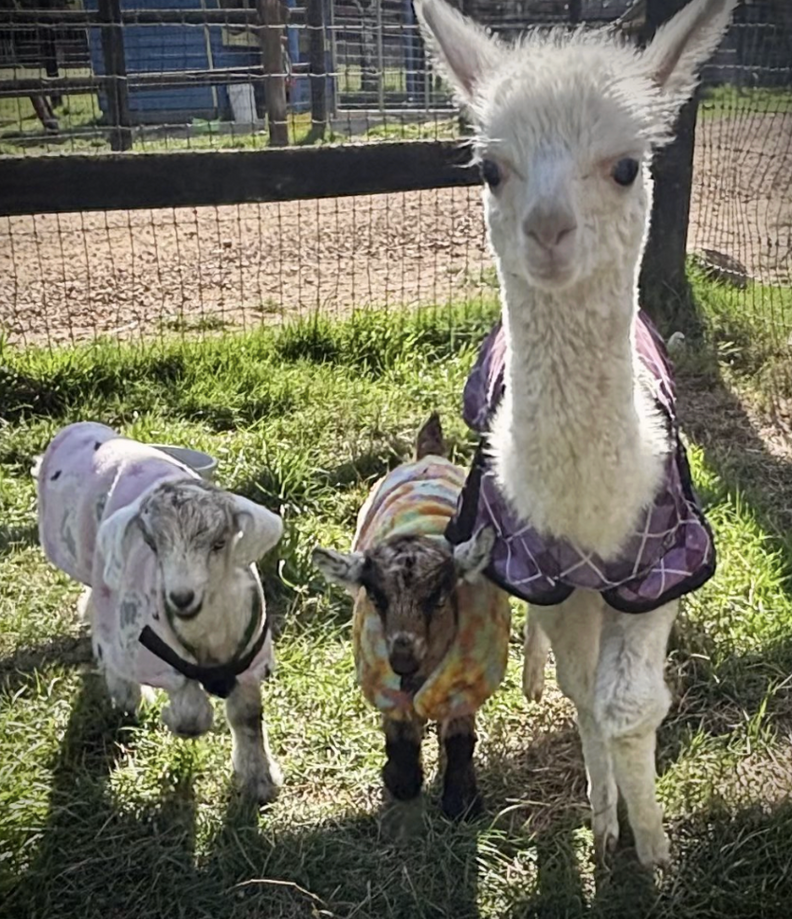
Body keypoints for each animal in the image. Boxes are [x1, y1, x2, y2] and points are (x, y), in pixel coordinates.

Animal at [36, 421, 284, 803]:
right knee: (105, 633)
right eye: (152, 545)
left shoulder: (250, 661)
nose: (181, 597)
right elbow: (191, 713)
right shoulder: (155, 656)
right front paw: (180, 719)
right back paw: (127, 696)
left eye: (219, 544)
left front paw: (259, 780)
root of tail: (82, 427)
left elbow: (247, 716)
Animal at [312, 414, 511, 818]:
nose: (403, 659)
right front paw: (401, 782)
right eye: (374, 596)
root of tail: (428, 455)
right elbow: (400, 740)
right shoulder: (384, 683)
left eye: (440, 598)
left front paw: (461, 802)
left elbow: (460, 739)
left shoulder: (467, 681)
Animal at [416, 0, 733, 865]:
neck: (591, 510)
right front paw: (605, 819)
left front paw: (653, 845)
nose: (547, 229)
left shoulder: (661, 563)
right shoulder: (541, 560)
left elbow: (630, 702)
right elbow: (585, 692)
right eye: (491, 169)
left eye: (625, 166)